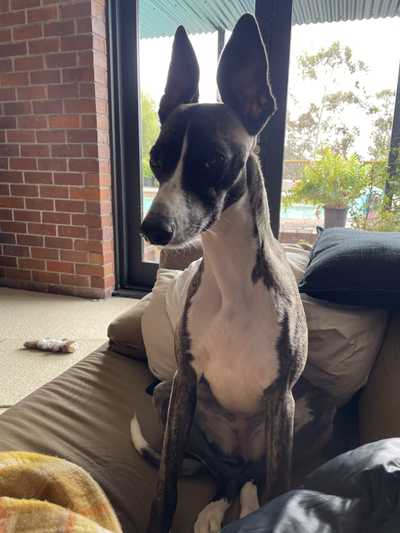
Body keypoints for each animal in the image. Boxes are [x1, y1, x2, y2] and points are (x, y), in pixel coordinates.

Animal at [131, 15, 334, 532]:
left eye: (211, 161)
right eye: (156, 158)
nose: (153, 229)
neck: (231, 278)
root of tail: (242, 450)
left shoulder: (282, 400)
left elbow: (280, 485)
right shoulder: (184, 385)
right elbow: (165, 485)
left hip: (310, 411)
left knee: (255, 475)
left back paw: (245, 499)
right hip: (166, 396)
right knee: (227, 471)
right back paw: (217, 504)